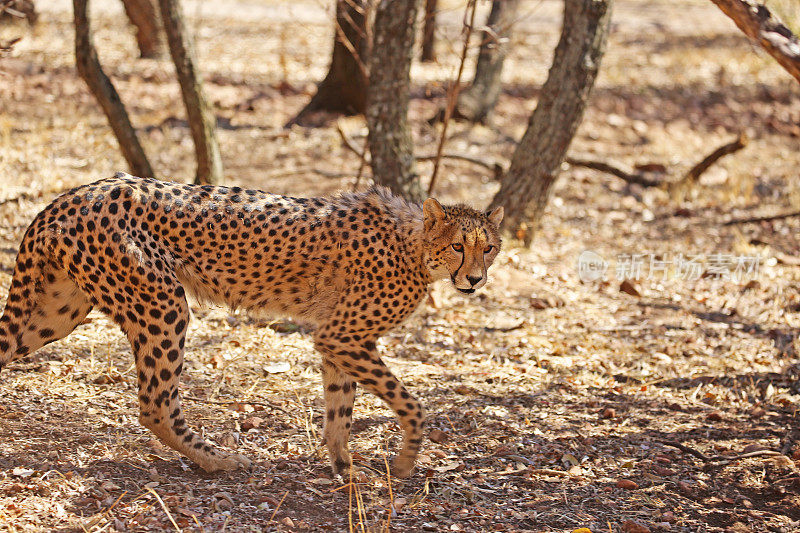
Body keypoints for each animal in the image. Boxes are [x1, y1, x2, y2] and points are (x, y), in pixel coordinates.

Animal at [0, 172, 500, 476]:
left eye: (489, 247)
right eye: (459, 246)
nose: (475, 279)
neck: (414, 245)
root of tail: (73, 194)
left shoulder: (337, 341)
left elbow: (339, 409)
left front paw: (345, 469)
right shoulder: (343, 336)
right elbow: (411, 404)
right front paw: (403, 464)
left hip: (56, 312)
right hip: (162, 304)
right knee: (155, 405)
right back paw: (218, 459)